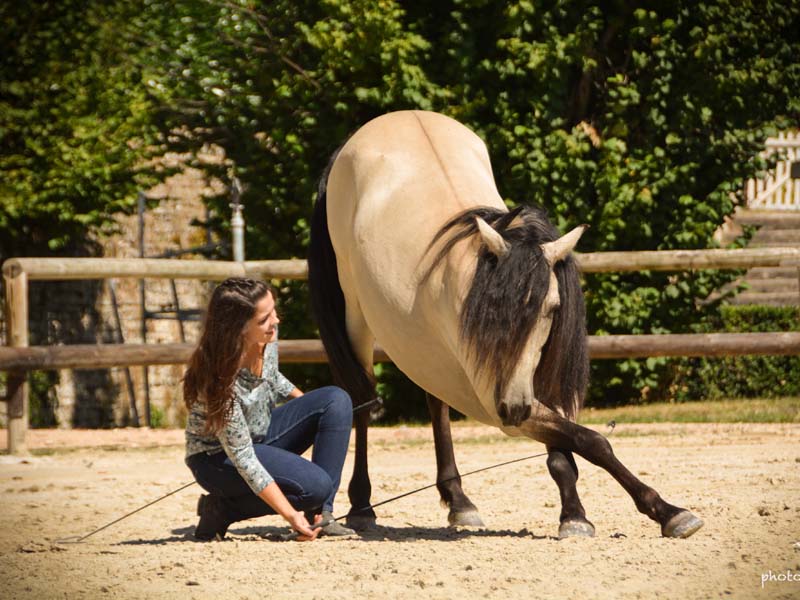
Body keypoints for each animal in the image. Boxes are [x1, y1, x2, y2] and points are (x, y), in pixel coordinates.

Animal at [310, 111, 704, 540]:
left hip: (431, 354)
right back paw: (363, 506)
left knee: (435, 402)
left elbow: (568, 448)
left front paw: (576, 515)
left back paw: (460, 502)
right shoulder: (491, 399)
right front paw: (667, 512)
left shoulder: (533, 384)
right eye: (489, 313)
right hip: (355, 317)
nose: (513, 408)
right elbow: (592, 441)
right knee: (361, 402)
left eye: (551, 308)